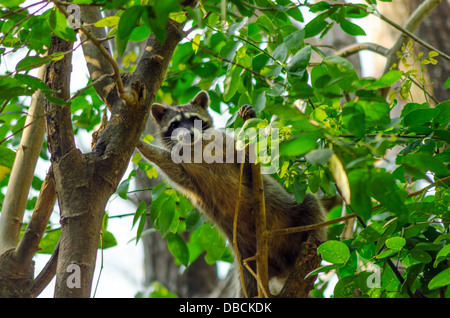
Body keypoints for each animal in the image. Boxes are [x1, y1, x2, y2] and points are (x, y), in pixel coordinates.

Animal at [137, 90, 326, 298]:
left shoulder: (226, 145)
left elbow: (246, 159)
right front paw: (142, 147)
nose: (189, 134)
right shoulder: (186, 175)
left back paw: (313, 242)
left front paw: (247, 125)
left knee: (310, 204)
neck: (196, 147)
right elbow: (170, 169)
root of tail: (283, 269)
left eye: (194, 119)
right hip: (247, 267)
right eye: (174, 124)